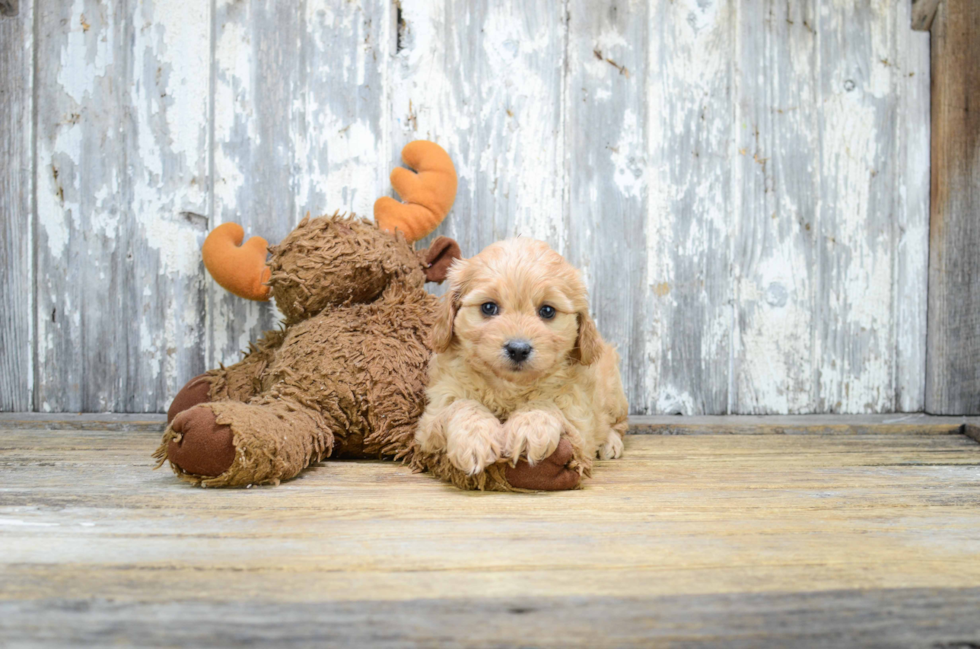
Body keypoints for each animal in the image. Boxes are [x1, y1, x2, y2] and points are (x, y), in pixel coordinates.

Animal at [414, 235, 628, 478]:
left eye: (547, 311)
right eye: (488, 307)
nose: (518, 349)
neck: (509, 387)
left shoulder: (580, 425)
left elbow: (545, 404)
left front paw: (529, 427)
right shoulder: (431, 418)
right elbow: (462, 405)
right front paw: (475, 439)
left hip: (613, 393)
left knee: (618, 423)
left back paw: (611, 443)